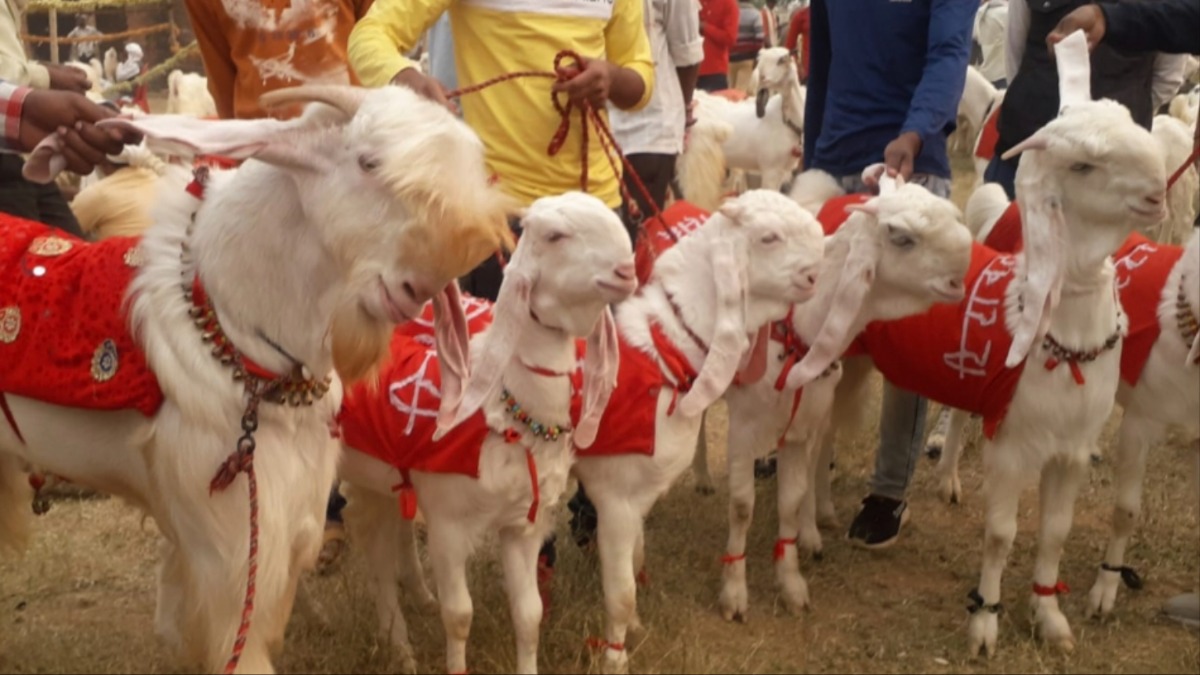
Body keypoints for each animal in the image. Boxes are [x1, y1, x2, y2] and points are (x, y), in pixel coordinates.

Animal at [337, 192, 637, 674]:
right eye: (555, 235)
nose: (627, 272)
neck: (506, 409)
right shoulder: (448, 522)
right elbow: (460, 616)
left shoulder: (522, 526)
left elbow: (530, 615)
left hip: (380, 475)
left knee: (384, 545)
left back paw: (405, 625)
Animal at [570, 189, 825, 675]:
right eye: (768, 237)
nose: (813, 276)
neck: (661, 351)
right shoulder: (614, 495)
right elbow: (621, 592)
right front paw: (615, 658)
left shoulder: (636, 497)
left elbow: (635, 562)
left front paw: (634, 629)